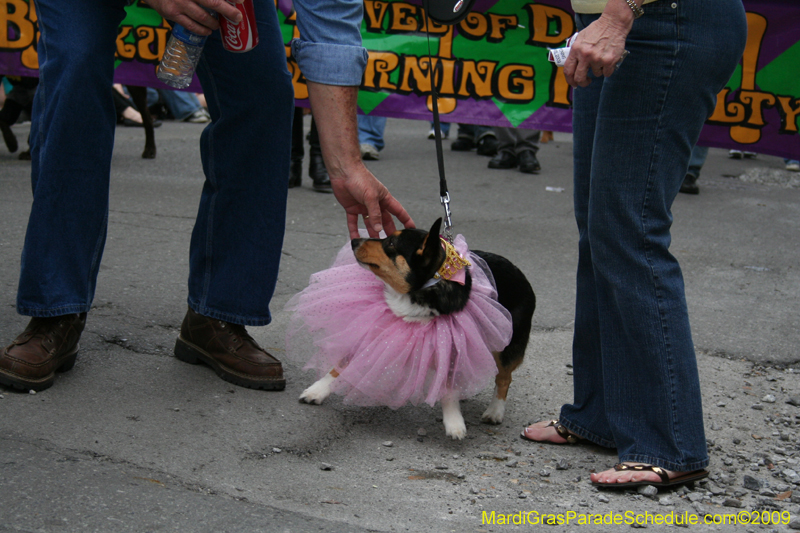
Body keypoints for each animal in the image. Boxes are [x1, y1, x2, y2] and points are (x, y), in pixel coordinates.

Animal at [284, 218, 536, 438]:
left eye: (391, 244)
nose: (354, 240)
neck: (419, 292)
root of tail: (520, 272)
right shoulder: (376, 329)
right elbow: (341, 364)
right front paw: (317, 390)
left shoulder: (450, 344)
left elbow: (449, 388)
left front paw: (454, 422)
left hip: (507, 348)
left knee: (503, 378)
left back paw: (495, 411)